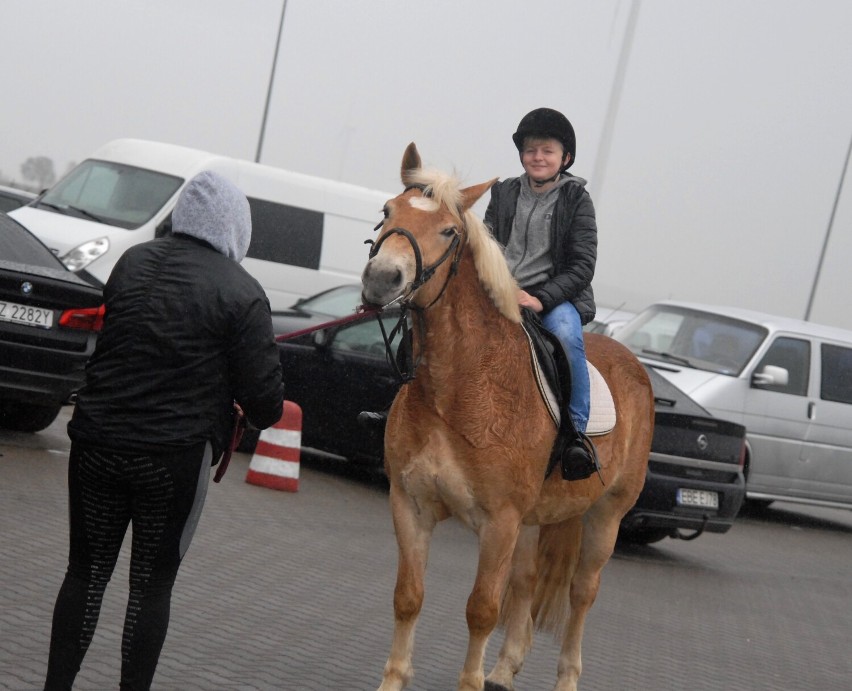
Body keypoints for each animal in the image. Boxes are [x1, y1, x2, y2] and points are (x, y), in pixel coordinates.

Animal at [360, 142, 652, 691]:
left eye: (449, 232)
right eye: (387, 211)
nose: (381, 280)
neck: (457, 386)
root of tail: (635, 366)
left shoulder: (499, 522)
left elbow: (480, 610)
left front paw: (471, 682)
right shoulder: (410, 505)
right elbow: (408, 598)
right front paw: (395, 679)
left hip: (605, 517)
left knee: (582, 594)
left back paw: (565, 678)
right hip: (536, 521)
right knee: (526, 581)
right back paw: (503, 669)